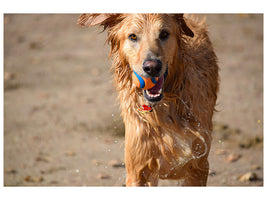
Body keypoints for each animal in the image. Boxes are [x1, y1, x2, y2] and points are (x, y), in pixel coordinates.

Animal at [76, 13, 219, 186]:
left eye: (164, 34)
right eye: (133, 36)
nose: (152, 67)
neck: (164, 108)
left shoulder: (198, 166)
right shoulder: (138, 170)